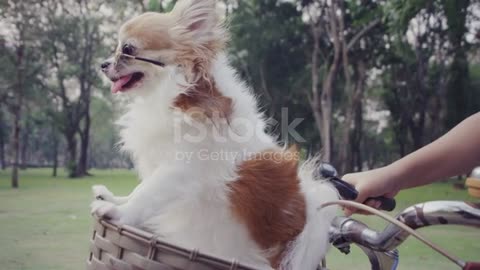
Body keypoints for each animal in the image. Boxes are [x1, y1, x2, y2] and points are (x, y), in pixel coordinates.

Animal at [91, 1, 338, 268]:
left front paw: (119, 212)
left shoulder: (180, 169)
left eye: (127, 49)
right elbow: (139, 190)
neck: (172, 93)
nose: (103, 64)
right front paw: (116, 199)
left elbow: (147, 194)